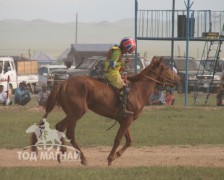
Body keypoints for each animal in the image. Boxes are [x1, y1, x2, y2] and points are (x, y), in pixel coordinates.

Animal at [31, 55, 179, 165]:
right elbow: (118, 139)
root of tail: (63, 84)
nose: (178, 79)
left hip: (73, 114)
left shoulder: (124, 120)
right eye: (166, 68)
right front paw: (110, 158)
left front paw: (117, 154)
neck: (137, 90)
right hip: (76, 113)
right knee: (60, 127)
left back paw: (82, 158)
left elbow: (129, 141)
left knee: (70, 133)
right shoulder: (127, 120)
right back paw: (63, 151)